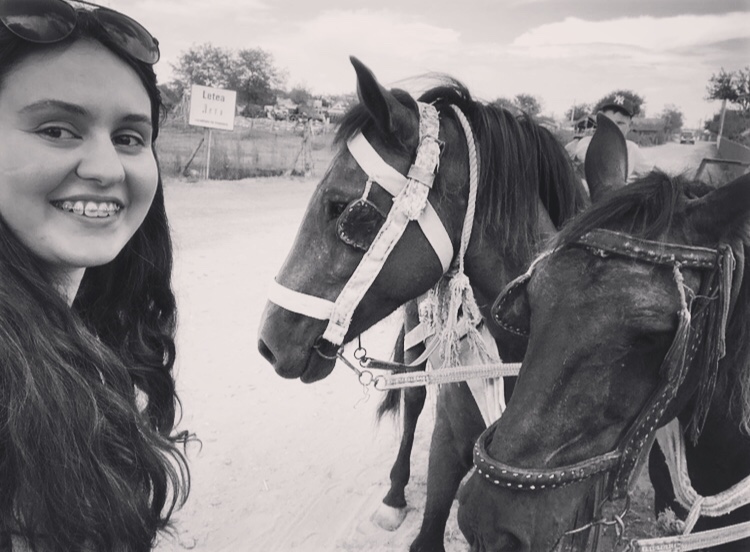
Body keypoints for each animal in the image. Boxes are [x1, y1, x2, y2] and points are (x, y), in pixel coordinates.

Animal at [257, 56, 587, 551]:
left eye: (339, 206)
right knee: (412, 399)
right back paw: (395, 495)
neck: (520, 355)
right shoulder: (449, 439)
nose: (269, 341)